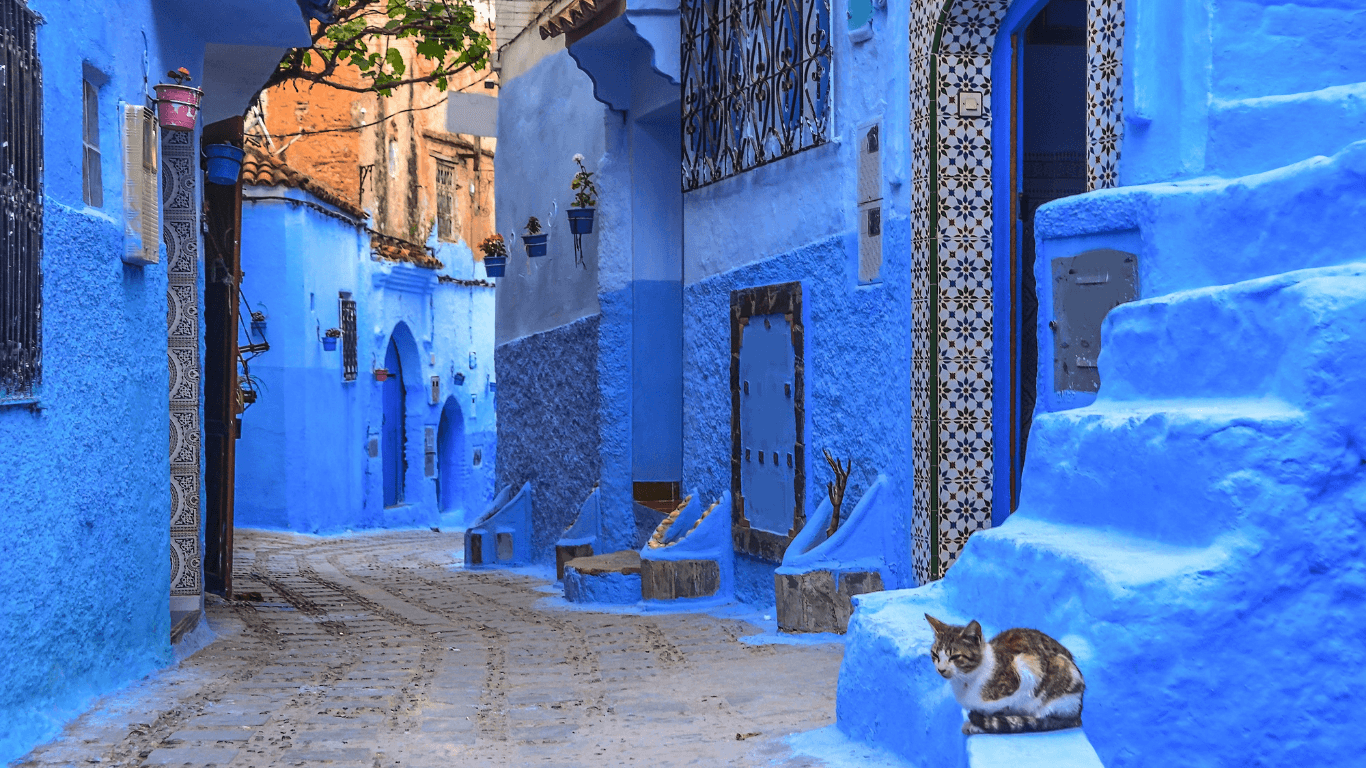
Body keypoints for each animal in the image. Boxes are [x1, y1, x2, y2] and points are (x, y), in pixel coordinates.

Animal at [923, 612, 1081, 732]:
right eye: (935, 654)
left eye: (955, 657)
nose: (941, 669)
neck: (967, 679)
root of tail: (1078, 713)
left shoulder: (1026, 672)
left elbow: (1002, 707)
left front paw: (979, 725)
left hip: (1062, 673)